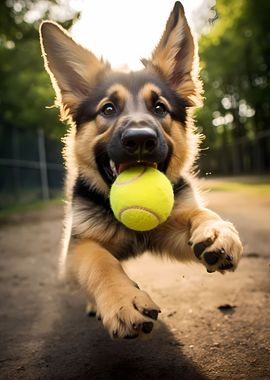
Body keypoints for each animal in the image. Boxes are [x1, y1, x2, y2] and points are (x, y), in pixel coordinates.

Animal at [39, 0, 243, 338]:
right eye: (108, 109)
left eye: (159, 108)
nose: (140, 139)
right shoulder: (77, 247)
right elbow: (99, 261)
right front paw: (123, 299)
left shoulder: (172, 226)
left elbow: (199, 213)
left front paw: (217, 231)